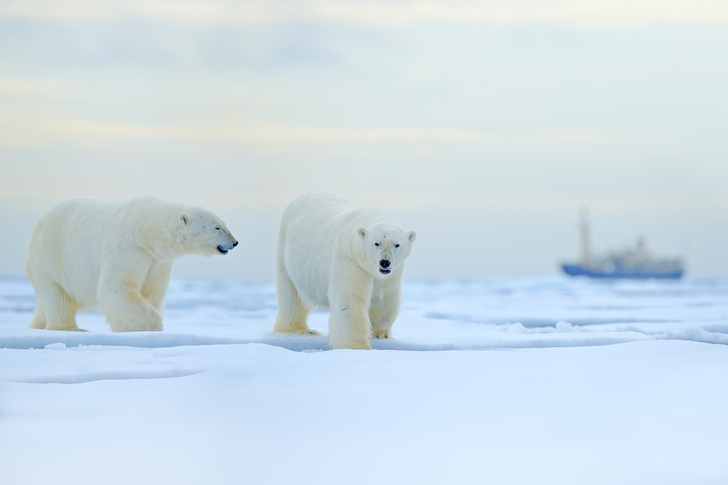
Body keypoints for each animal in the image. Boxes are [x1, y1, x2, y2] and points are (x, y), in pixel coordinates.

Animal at [24, 195, 236, 330]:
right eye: (217, 227)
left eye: (224, 224)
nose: (235, 242)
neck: (147, 231)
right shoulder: (129, 248)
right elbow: (118, 286)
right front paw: (154, 323)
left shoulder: (158, 261)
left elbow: (153, 290)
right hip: (49, 258)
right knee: (56, 296)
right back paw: (69, 328)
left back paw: (37, 325)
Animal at [272, 189, 416, 348]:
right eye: (376, 243)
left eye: (397, 244)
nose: (384, 262)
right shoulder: (349, 259)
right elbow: (349, 299)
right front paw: (358, 346)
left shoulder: (391, 273)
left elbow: (384, 298)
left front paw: (380, 334)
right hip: (285, 252)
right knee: (290, 296)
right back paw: (299, 330)